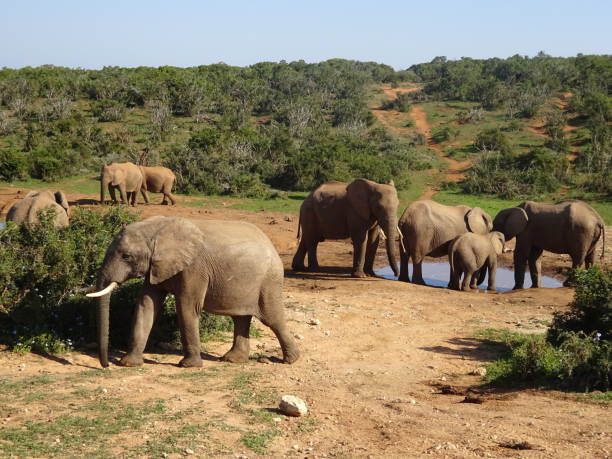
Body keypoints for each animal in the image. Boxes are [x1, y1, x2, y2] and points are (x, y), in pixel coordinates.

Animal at [87, 216, 300, 370]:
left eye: (126, 256)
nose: (106, 365)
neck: (157, 228)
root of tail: (271, 244)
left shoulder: (194, 269)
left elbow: (187, 307)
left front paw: (188, 366)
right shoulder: (157, 267)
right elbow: (146, 305)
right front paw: (128, 363)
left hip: (269, 281)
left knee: (272, 318)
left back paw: (291, 360)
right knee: (240, 318)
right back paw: (232, 360)